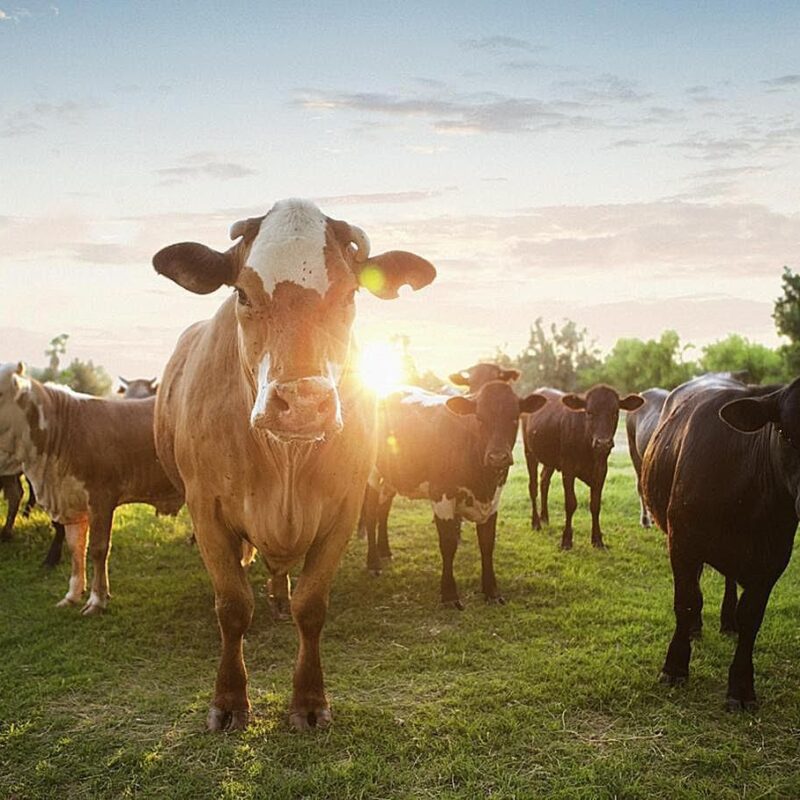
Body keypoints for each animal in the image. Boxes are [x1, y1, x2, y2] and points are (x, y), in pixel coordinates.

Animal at [0, 362, 183, 613]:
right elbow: (76, 548)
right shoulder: (71, 501)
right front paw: (72, 595)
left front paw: (97, 600)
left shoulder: (101, 498)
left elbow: (97, 548)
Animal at [152, 198, 436, 732]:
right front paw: (229, 699)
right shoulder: (205, 506)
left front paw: (308, 700)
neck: (284, 462)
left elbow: (312, 606)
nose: (302, 403)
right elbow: (232, 606)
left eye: (349, 294)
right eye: (243, 293)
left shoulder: (345, 508)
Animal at [363, 382, 546, 607]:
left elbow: (487, 544)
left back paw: (385, 551)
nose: (497, 457)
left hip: (393, 476)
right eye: (479, 418)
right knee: (371, 514)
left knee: (383, 511)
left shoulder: (494, 499)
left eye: (514, 418)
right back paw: (373, 562)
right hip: (372, 473)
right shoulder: (441, 495)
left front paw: (491, 590)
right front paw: (449, 593)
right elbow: (449, 544)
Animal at [522, 385, 644, 549]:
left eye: (615, 413)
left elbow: (595, 504)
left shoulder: (601, 470)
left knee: (544, 481)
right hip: (529, 452)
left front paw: (597, 539)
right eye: (589, 412)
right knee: (533, 486)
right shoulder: (568, 469)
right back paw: (536, 522)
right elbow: (571, 503)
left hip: (550, 460)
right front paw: (566, 540)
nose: (603, 443)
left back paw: (545, 517)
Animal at [641, 376, 800, 710]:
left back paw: (728, 622)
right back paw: (695, 627)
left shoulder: (774, 558)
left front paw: (741, 686)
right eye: (784, 432)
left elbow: (751, 616)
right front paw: (675, 666)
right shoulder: (682, 541)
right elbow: (687, 601)